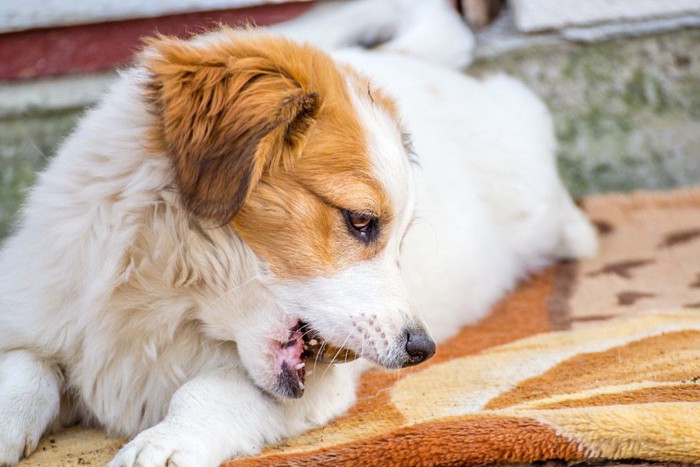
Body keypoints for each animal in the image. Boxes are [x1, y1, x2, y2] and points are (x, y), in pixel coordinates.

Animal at [0, 0, 596, 467]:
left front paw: (166, 444)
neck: (167, 300)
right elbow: (25, 369)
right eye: (361, 221)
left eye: (397, 240)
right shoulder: (37, 307)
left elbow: (210, 388)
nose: (422, 350)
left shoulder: (314, 389)